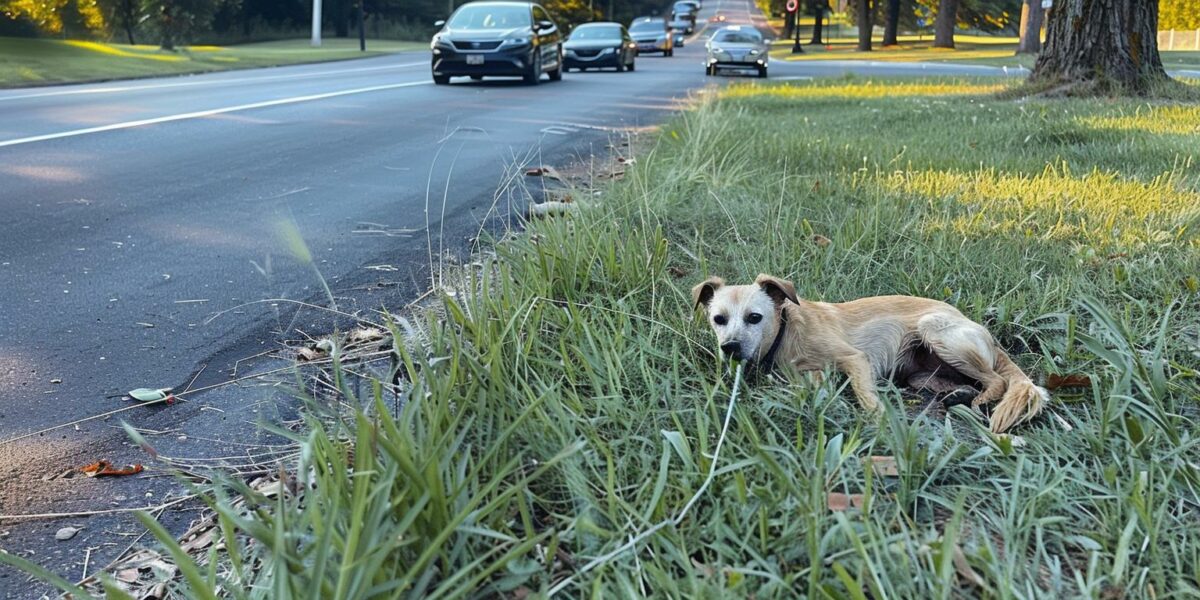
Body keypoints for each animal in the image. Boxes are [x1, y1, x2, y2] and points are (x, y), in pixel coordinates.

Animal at [691, 274, 1046, 434]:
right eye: (718, 319)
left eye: (755, 317)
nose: (729, 347)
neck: (786, 335)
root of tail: (988, 336)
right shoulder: (811, 376)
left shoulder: (854, 359)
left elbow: (865, 396)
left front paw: (878, 421)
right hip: (921, 374)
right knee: (966, 381)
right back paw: (959, 394)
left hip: (936, 331)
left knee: (997, 380)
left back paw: (982, 399)